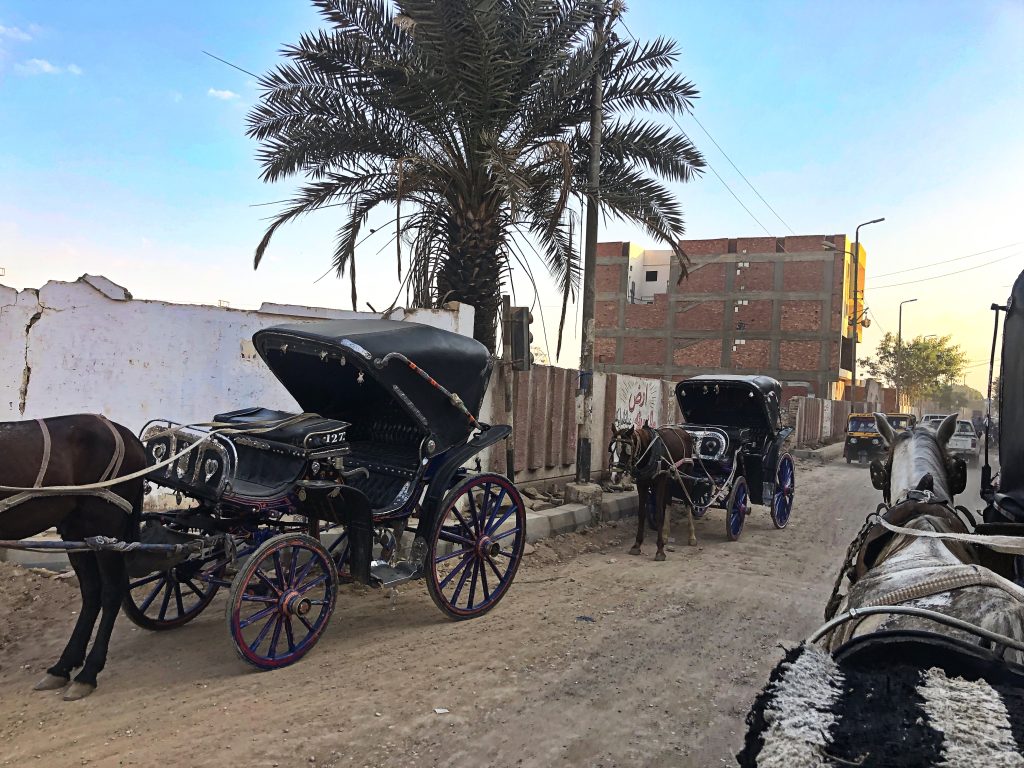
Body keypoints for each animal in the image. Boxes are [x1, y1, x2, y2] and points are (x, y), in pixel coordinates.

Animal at [0, 415, 148, 700]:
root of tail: (129, 436)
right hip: (77, 531)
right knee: (91, 592)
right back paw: (63, 666)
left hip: (105, 526)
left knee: (112, 591)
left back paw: (88, 673)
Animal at [608, 421, 696, 561]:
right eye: (611, 449)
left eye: (626, 450)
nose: (614, 476)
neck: (648, 452)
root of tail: (684, 432)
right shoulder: (641, 483)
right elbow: (641, 513)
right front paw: (637, 545)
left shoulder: (660, 482)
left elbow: (659, 513)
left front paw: (660, 550)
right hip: (669, 478)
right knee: (668, 501)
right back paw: (665, 534)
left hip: (685, 474)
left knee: (687, 500)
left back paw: (691, 536)